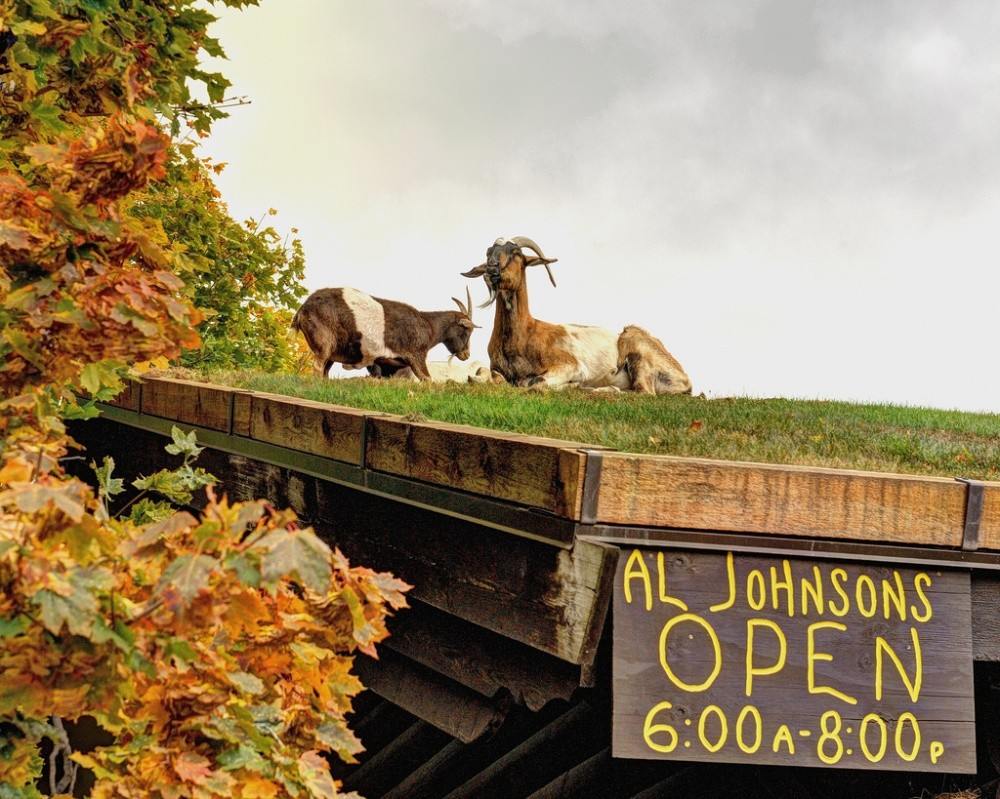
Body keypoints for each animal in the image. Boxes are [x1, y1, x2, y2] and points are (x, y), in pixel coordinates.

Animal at [292, 286, 478, 380]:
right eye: (466, 330)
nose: (466, 355)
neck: (428, 324)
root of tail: (302, 309)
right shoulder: (415, 355)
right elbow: (427, 379)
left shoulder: (387, 366)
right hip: (324, 342)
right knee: (318, 366)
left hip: (333, 350)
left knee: (325, 370)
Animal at [460, 234, 616, 390]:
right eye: (488, 252)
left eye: (517, 253)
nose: (492, 268)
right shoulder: (496, 369)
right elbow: (488, 373)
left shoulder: (572, 365)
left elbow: (536, 381)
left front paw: (573, 384)